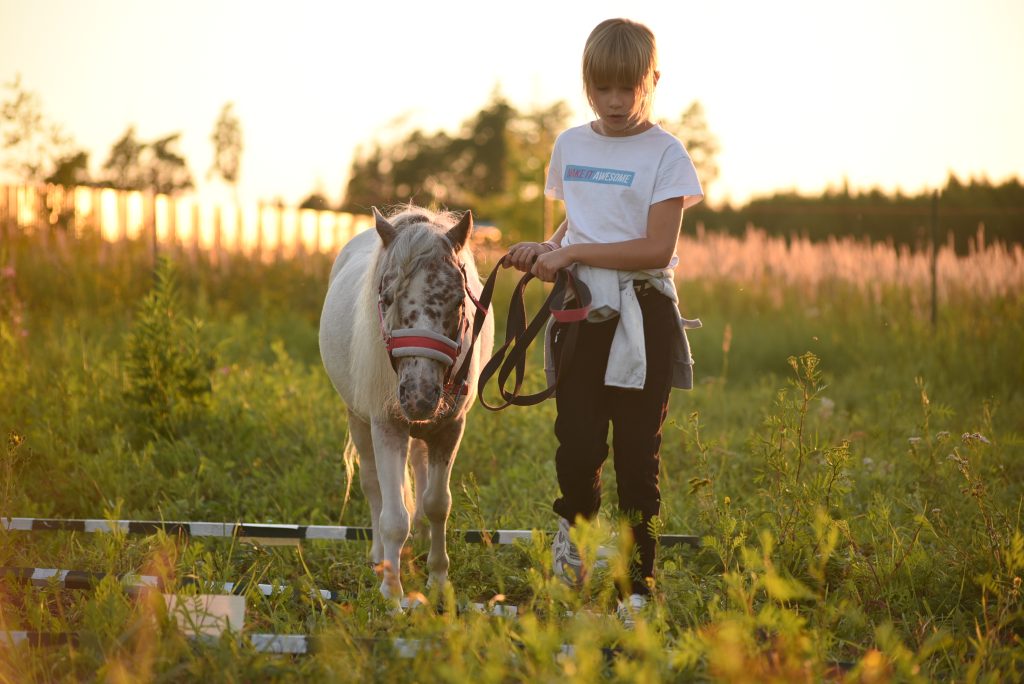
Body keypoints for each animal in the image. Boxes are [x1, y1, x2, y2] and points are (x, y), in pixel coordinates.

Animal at [319, 204, 495, 597]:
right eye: (385, 300)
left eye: (459, 301)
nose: (419, 397)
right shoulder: (387, 426)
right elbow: (393, 515)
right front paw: (392, 593)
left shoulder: (450, 429)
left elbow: (437, 503)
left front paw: (438, 579)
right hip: (359, 420)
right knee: (373, 485)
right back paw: (378, 557)